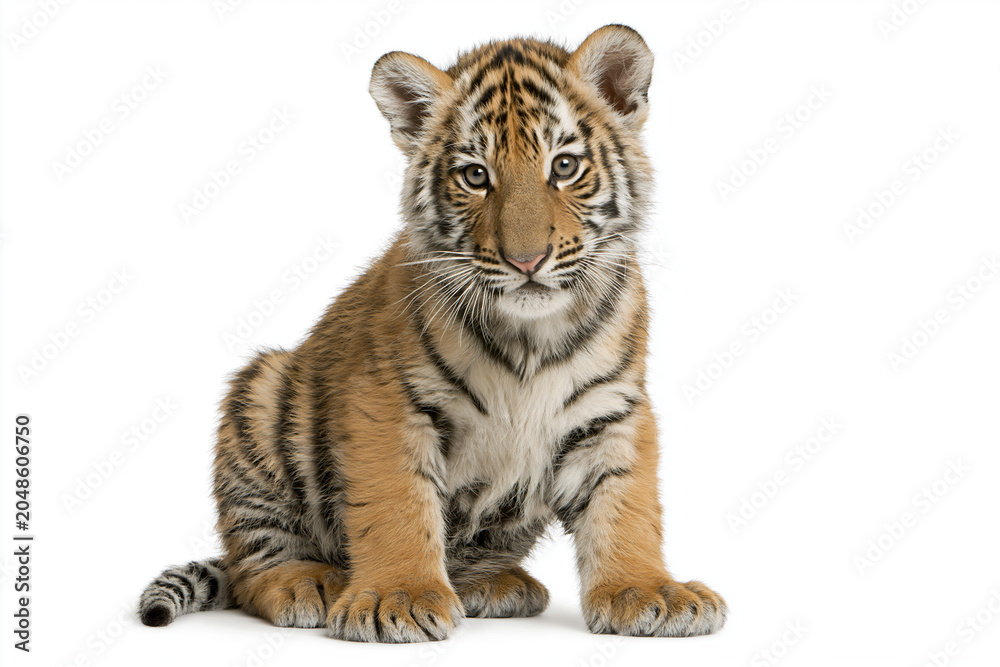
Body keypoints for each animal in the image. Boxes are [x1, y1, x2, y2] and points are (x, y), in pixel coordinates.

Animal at [138, 24, 727, 643]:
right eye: (475, 176)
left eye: (564, 167)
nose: (526, 261)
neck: (531, 338)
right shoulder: (386, 405)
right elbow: (398, 504)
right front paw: (395, 598)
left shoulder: (613, 409)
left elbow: (626, 505)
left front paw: (649, 589)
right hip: (262, 390)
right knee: (255, 560)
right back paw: (307, 582)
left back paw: (493, 585)